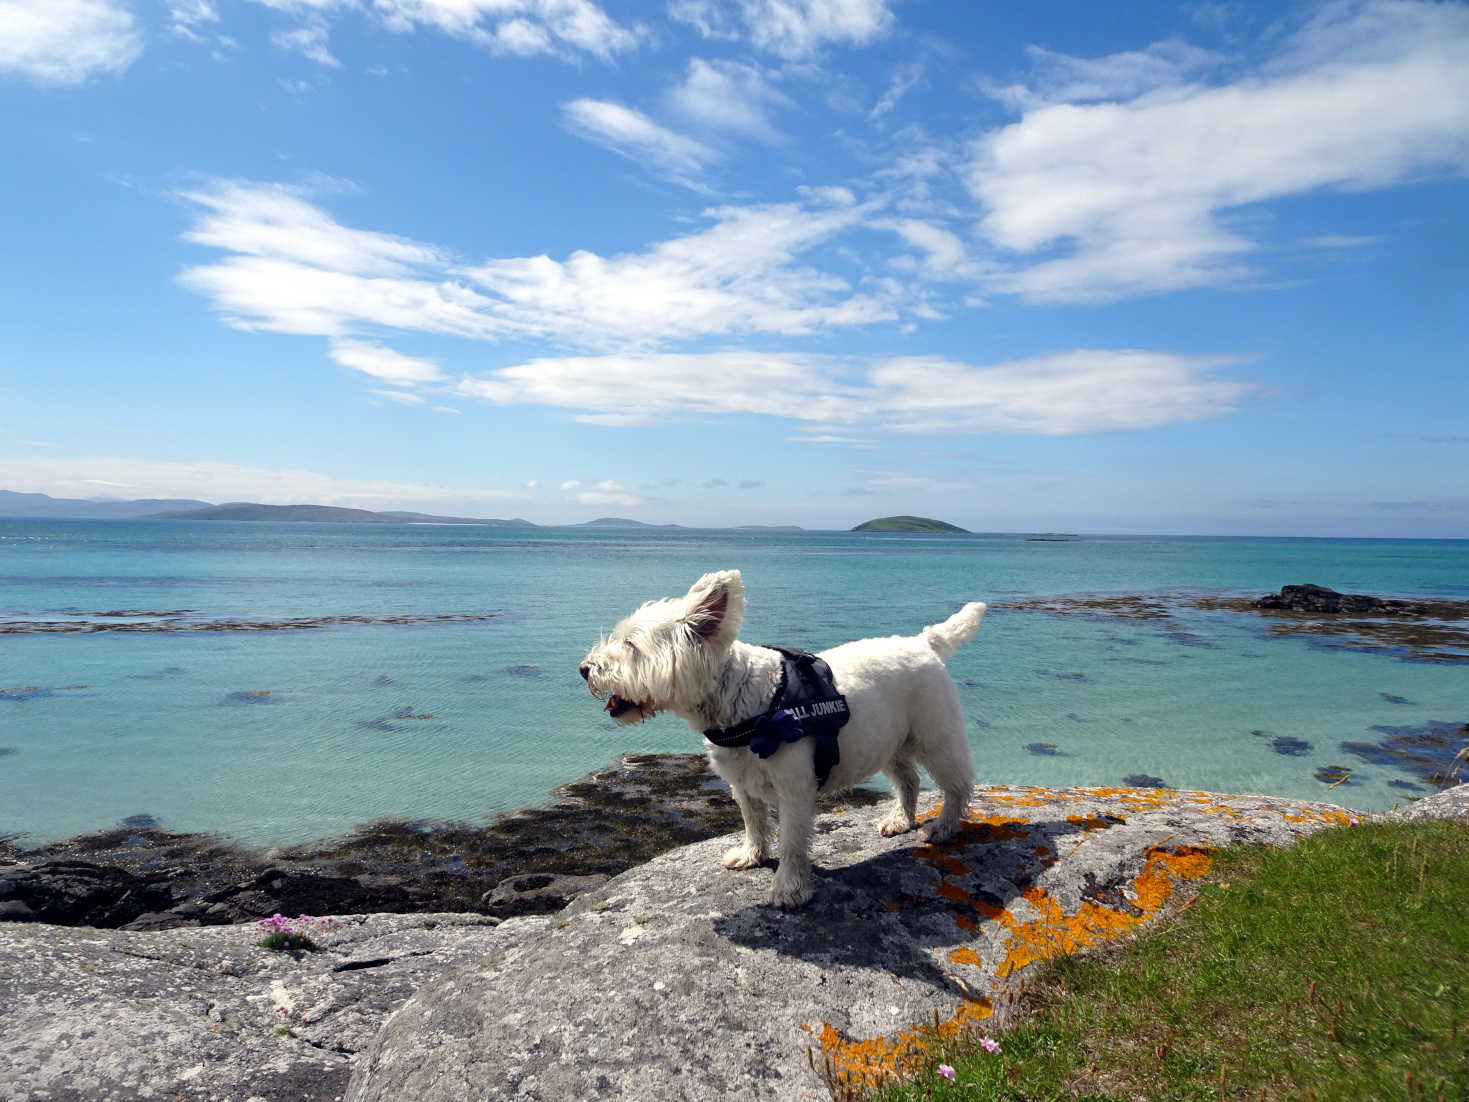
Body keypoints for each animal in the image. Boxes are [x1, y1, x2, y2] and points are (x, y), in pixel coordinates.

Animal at [575, 573, 987, 910]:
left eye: (631, 644)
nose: (584, 669)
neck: (744, 700)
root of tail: (924, 642)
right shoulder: (741, 783)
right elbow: (753, 821)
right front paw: (752, 855)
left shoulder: (794, 788)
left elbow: (791, 839)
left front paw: (789, 889)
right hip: (888, 743)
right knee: (909, 780)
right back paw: (900, 821)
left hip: (935, 737)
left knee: (958, 784)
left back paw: (943, 828)